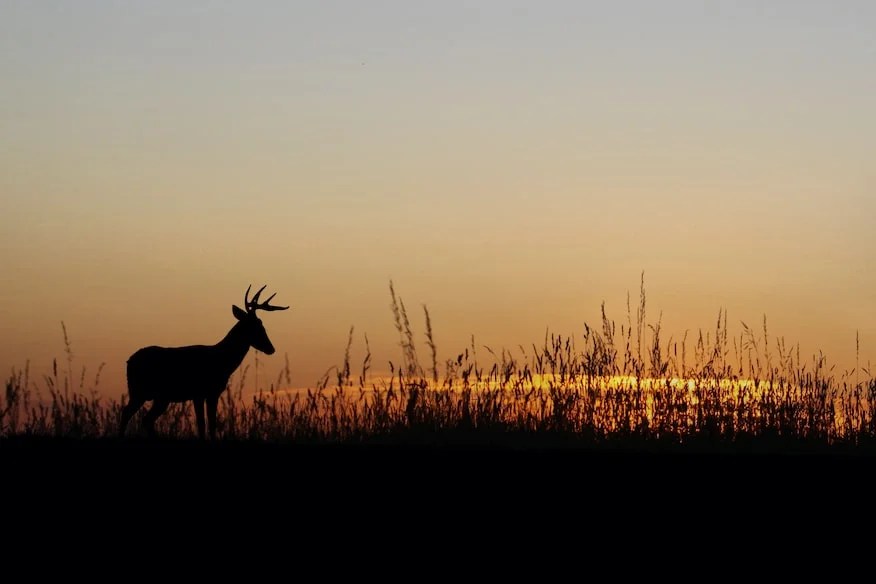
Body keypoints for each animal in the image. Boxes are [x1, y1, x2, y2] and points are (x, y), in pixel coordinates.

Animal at [119, 285, 289, 440]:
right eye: (255, 326)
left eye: (262, 325)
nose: (271, 348)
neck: (221, 360)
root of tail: (129, 361)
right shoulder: (201, 392)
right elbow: (203, 424)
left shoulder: (210, 393)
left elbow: (210, 424)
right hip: (140, 391)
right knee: (128, 413)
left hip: (158, 396)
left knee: (144, 419)